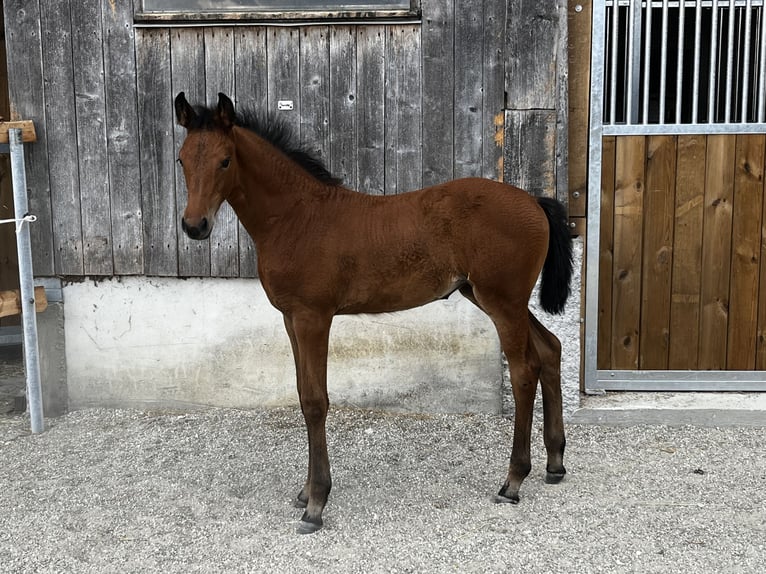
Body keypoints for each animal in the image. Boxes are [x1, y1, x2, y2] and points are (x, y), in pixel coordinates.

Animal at [174, 92, 574, 534]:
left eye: (225, 161)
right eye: (182, 159)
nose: (194, 226)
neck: (297, 218)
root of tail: (534, 200)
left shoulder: (314, 317)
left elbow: (315, 401)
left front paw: (316, 503)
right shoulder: (290, 318)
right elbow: (301, 393)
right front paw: (305, 492)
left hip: (504, 302)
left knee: (524, 371)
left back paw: (514, 480)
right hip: (495, 299)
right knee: (550, 348)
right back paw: (555, 462)